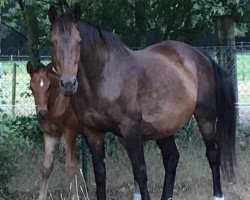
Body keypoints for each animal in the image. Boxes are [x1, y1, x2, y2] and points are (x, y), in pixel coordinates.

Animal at [48, 5, 236, 200]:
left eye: (79, 41)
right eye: (52, 42)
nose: (68, 84)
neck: (104, 79)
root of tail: (200, 55)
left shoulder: (131, 131)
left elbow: (140, 172)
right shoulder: (93, 133)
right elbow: (99, 174)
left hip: (205, 116)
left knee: (213, 154)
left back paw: (218, 195)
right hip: (163, 127)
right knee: (171, 158)